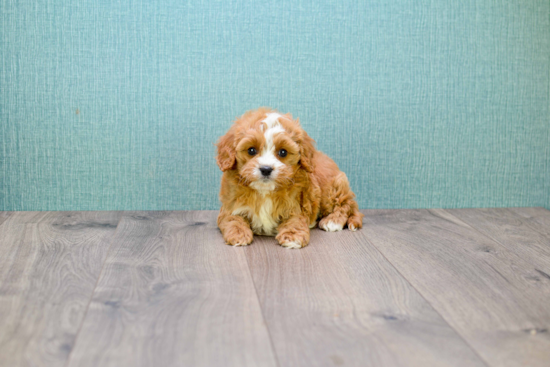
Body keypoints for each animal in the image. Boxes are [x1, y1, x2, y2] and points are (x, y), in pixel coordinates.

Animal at [217, 108, 366, 249]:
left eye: (283, 152)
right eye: (251, 150)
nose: (266, 169)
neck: (265, 191)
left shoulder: (297, 207)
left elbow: (295, 221)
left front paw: (292, 237)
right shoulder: (230, 206)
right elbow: (232, 219)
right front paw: (238, 234)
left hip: (331, 190)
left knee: (346, 204)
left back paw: (333, 221)